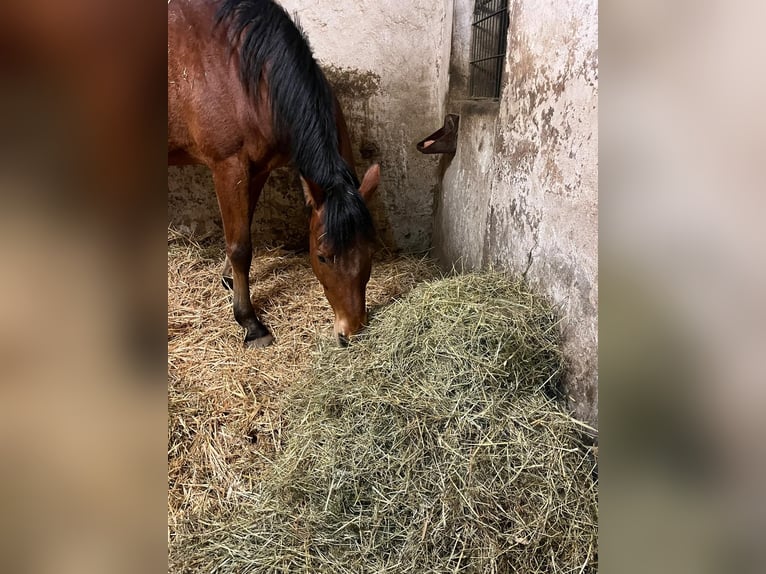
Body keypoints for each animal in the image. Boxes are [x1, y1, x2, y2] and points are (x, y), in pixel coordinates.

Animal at [170, 0, 380, 348]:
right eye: (322, 257)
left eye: (370, 251)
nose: (350, 331)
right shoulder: (229, 168)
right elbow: (240, 246)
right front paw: (250, 323)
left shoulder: (256, 171)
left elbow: (243, 231)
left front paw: (229, 280)